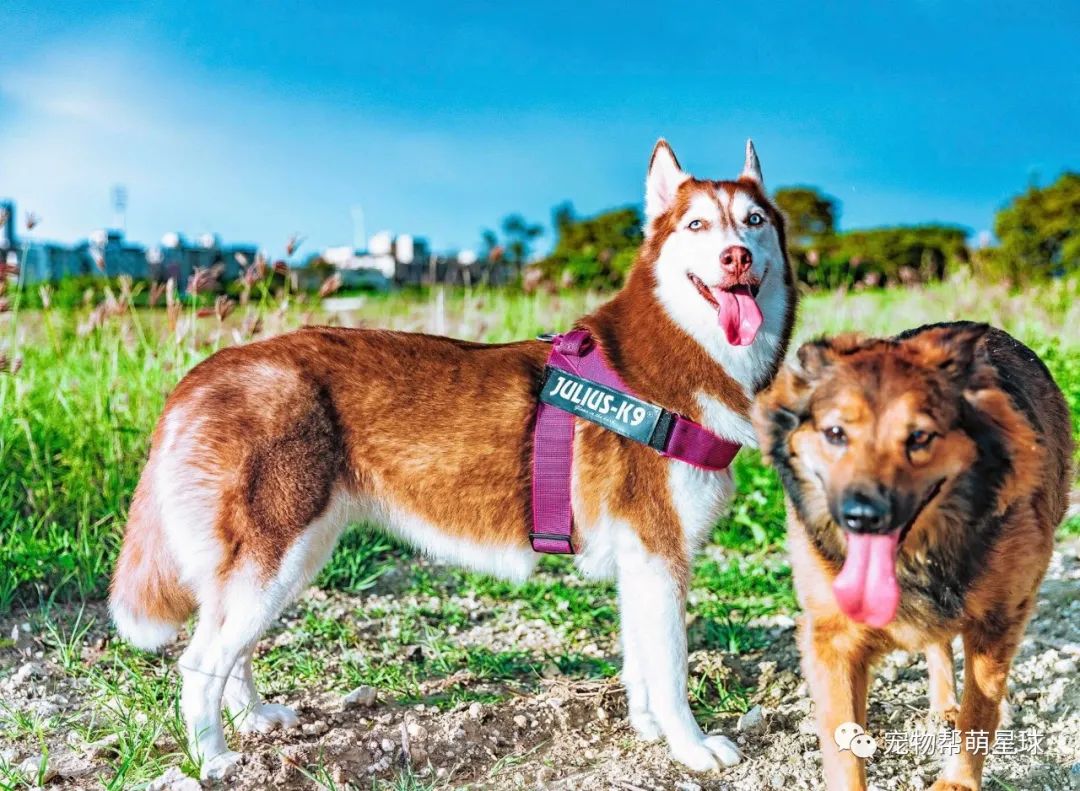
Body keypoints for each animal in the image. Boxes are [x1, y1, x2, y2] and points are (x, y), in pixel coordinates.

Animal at [756, 322, 1075, 791]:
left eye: (919, 437)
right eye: (835, 434)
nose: (862, 516)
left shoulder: (998, 621)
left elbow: (980, 708)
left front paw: (959, 781)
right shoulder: (831, 638)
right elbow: (842, 750)